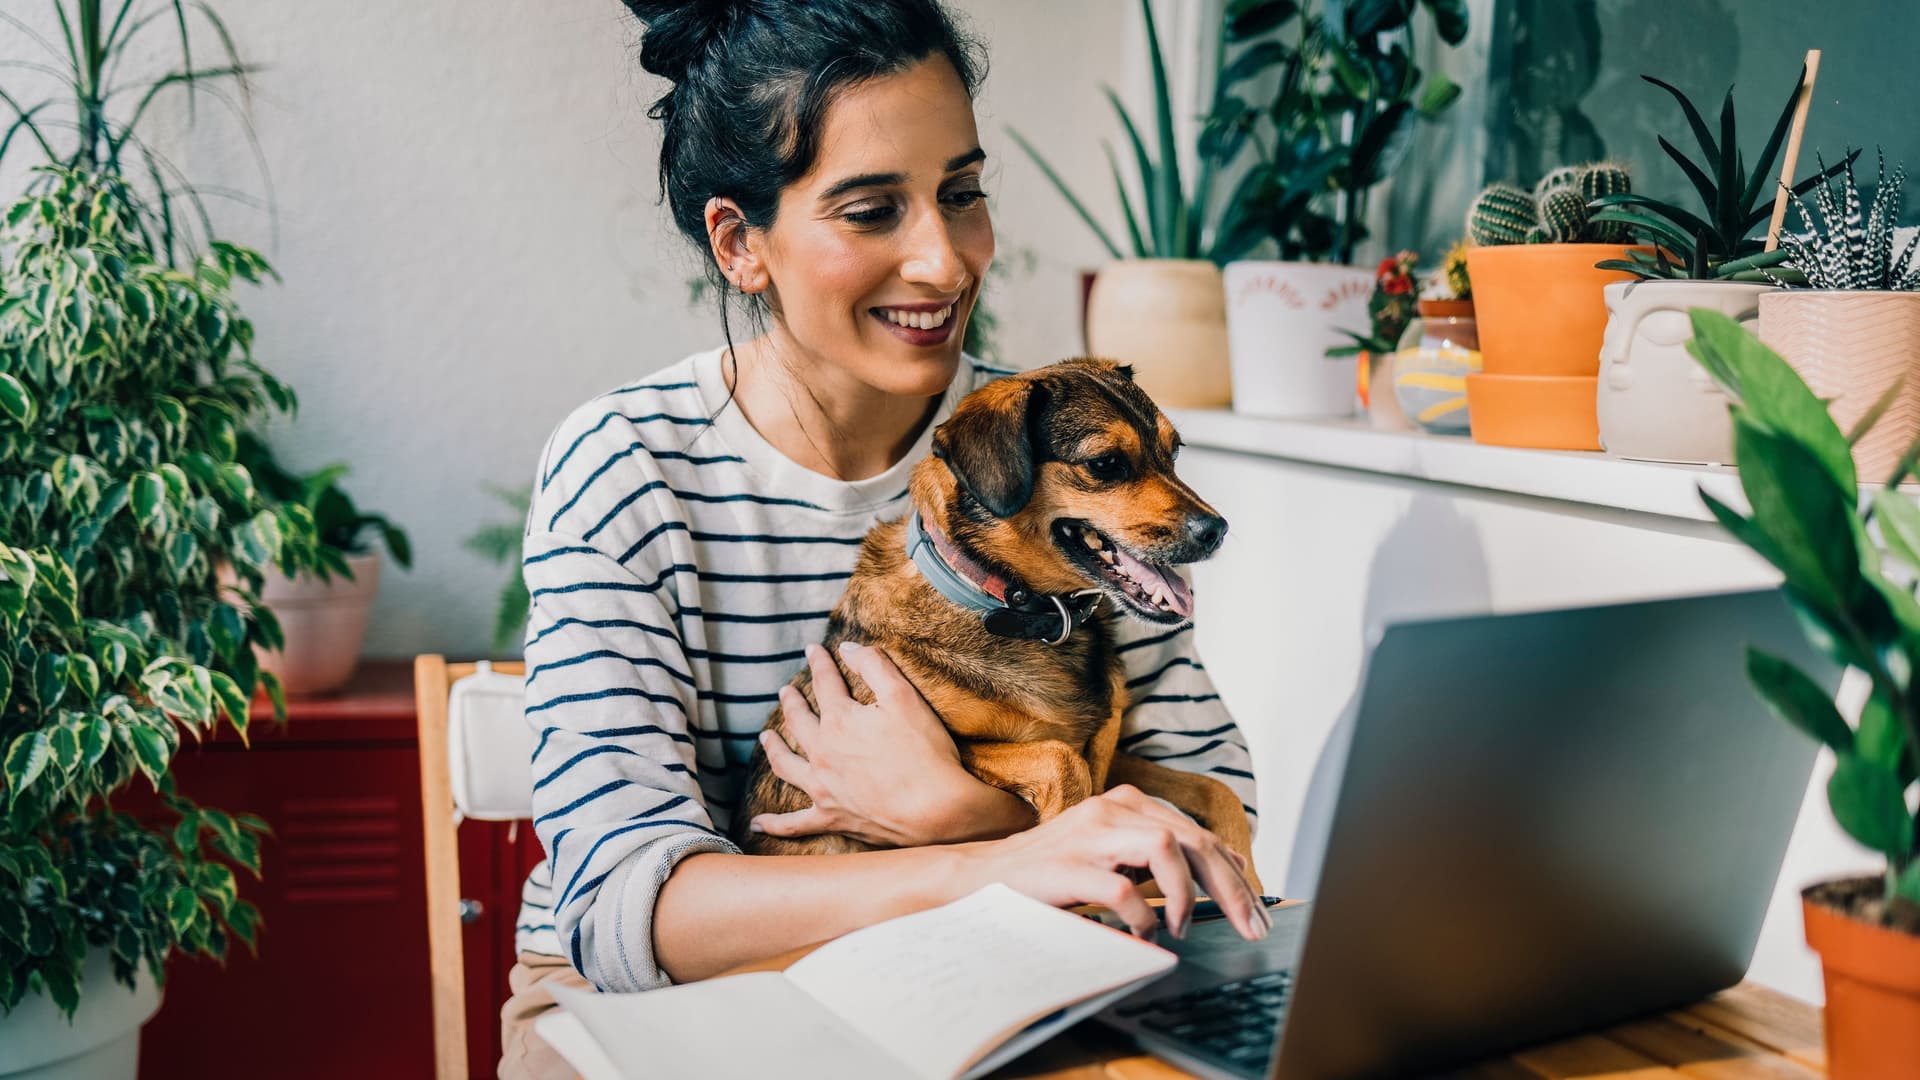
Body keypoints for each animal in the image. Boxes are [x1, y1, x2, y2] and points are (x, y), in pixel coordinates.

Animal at [725, 357, 1251, 868]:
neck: (1004, 603)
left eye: (1175, 452)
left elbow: (1217, 788)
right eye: (1104, 464)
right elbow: (1063, 761)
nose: (1218, 530)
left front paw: (1245, 870)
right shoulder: (929, 750)